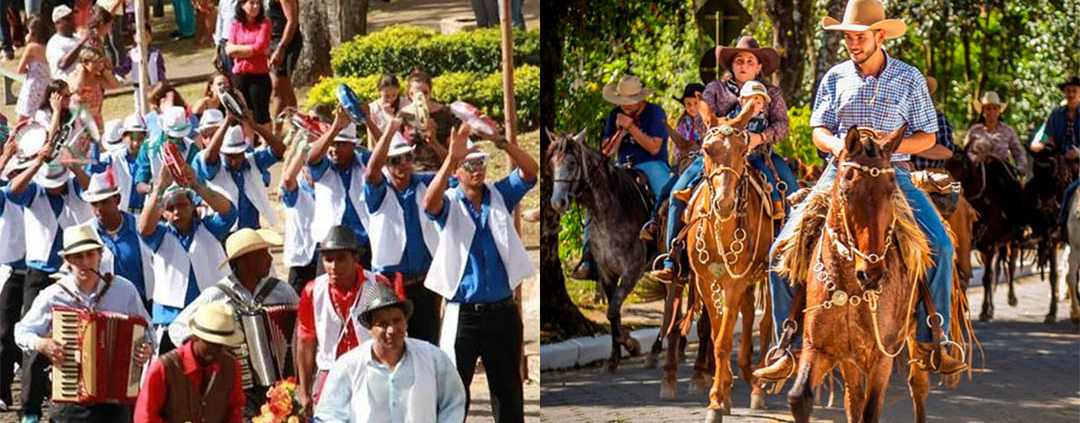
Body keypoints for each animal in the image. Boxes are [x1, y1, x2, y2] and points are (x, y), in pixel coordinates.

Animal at [548, 129, 656, 373]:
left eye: (572, 162)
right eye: (552, 164)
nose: (558, 203)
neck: (611, 213)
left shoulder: (632, 272)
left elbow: (612, 311)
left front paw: (631, 344)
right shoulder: (607, 274)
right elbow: (613, 316)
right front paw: (614, 358)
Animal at [678, 100, 773, 420]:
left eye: (743, 151)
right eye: (707, 150)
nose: (725, 202)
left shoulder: (733, 283)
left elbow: (723, 339)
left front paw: (718, 399)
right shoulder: (707, 282)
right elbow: (717, 335)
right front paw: (721, 397)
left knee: (766, 325)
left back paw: (758, 386)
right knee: (748, 316)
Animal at [786, 127, 946, 423]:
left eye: (892, 192)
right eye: (846, 191)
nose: (871, 274)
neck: (850, 287)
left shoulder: (881, 355)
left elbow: (872, 412)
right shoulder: (819, 348)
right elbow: (800, 398)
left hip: (915, 337)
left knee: (918, 386)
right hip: (848, 357)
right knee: (853, 399)